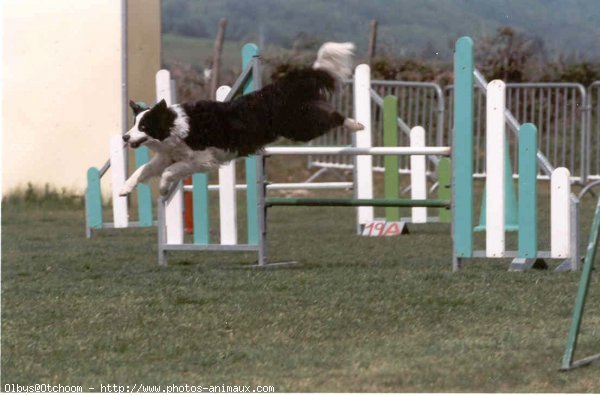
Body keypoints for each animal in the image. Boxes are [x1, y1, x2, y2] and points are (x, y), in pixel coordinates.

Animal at [120, 41, 364, 196]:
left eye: (144, 125)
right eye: (134, 124)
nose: (124, 137)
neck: (174, 126)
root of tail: (281, 86)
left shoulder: (201, 159)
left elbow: (169, 171)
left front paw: (162, 188)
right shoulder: (167, 157)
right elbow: (143, 170)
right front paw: (124, 189)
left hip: (300, 127)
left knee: (333, 117)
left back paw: (356, 124)